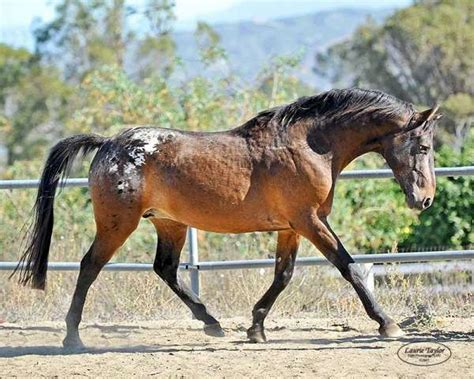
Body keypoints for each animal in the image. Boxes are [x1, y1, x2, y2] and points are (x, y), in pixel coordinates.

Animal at [11, 88, 440, 348]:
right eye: (423, 146)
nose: (425, 200)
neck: (311, 146)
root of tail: (108, 144)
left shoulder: (292, 227)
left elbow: (282, 275)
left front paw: (256, 328)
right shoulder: (310, 221)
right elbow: (348, 267)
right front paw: (387, 323)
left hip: (170, 224)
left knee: (165, 269)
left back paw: (211, 322)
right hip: (118, 224)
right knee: (89, 266)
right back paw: (72, 339)